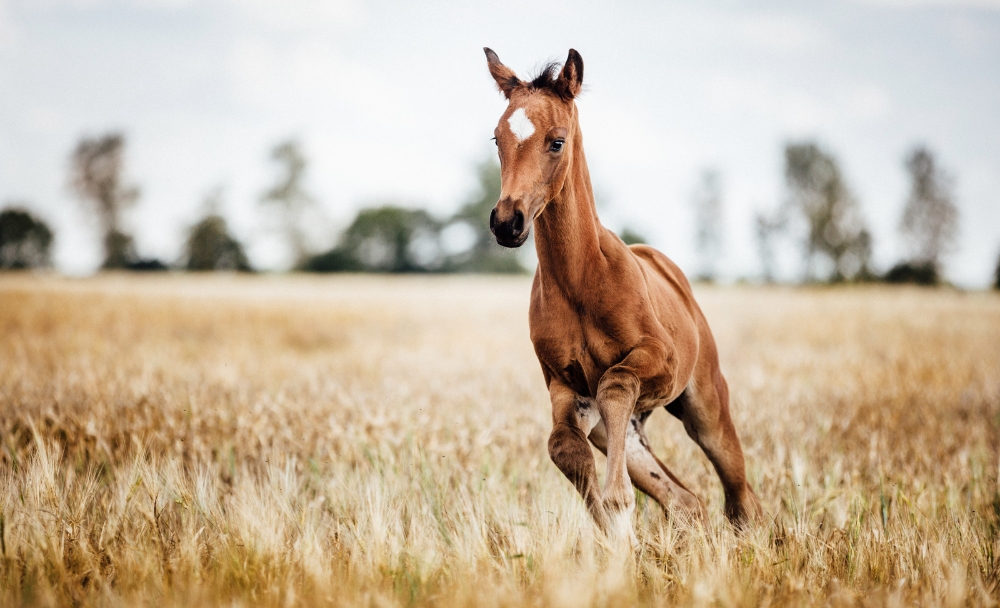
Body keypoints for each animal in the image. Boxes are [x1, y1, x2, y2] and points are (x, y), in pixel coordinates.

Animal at [482, 47, 756, 540]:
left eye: (556, 141)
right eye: (497, 139)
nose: (507, 222)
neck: (580, 281)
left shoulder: (658, 360)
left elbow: (615, 381)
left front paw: (618, 508)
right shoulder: (566, 388)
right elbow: (561, 445)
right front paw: (614, 537)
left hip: (705, 404)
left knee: (740, 495)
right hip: (623, 429)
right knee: (685, 499)